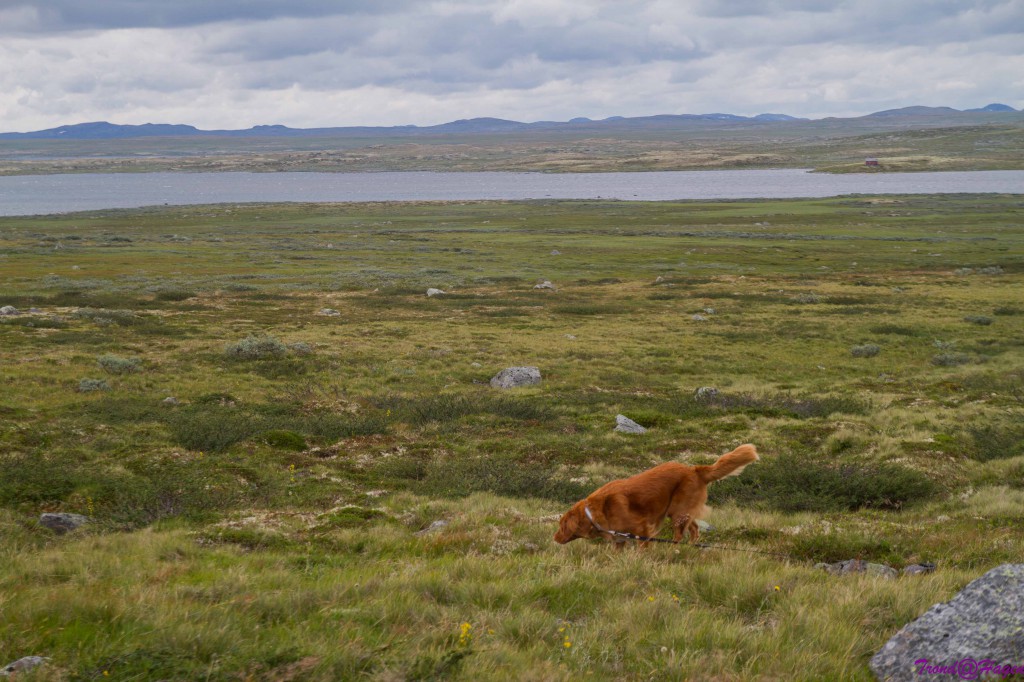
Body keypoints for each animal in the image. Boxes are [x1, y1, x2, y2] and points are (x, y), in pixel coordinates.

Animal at [552, 440, 761, 548]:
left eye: (562, 526)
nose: (554, 538)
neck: (594, 511)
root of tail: (694, 469)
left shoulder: (642, 530)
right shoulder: (620, 539)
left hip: (677, 511)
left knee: (680, 534)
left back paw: (673, 550)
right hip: (680, 512)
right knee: (694, 529)